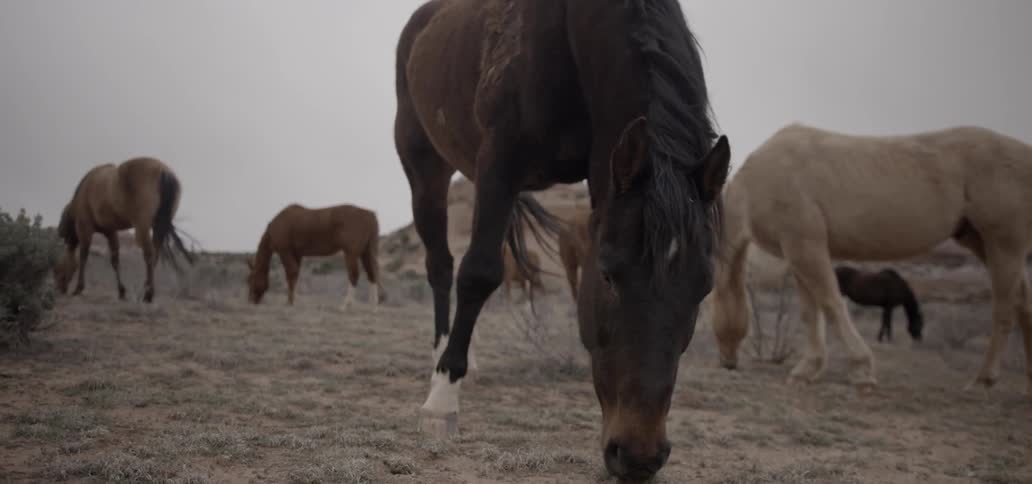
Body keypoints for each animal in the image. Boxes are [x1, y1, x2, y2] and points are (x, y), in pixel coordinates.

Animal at [54, 157, 193, 303]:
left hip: (142, 226)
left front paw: (79, 288)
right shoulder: (110, 231)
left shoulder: (85, 227)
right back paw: (146, 289)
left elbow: (83, 256)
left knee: (149, 254)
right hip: (158, 226)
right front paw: (121, 291)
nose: (58, 289)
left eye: (56, 270)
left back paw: (148, 294)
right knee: (155, 254)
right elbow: (115, 260)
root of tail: (164, 172)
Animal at [246, 203, 385, 309]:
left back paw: (345, 305)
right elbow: (295, 275)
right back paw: (373, 306)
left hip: (351, 253)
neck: (276, 226)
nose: (250, 300)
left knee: (354, 275)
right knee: (372, 274)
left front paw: (290, 302)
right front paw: (292, 301)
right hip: (366, 252)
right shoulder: (297, 254)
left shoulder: (285, 252)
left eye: (250, 279)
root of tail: (370, 215)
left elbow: (291, 273)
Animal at [394, 1, 729, 480]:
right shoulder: (499, 160)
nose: (639, 456)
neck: (572, 31)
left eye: (704, 286)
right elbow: (478, 272)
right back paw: (443, 357)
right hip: (425, 166)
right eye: (607, 275)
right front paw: (441, 401)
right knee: (440, 264)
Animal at [709, 123, 1032, 395]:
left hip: (1004, 243)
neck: (758, 182)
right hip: (979, 241)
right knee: (1022, 303)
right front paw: (806, 371)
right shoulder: (797, 253)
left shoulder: (806, 246)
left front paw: (861, 371)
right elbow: (810, 312)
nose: (727, 363)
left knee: (1005, 308)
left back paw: (982, 380)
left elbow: (831, 303)